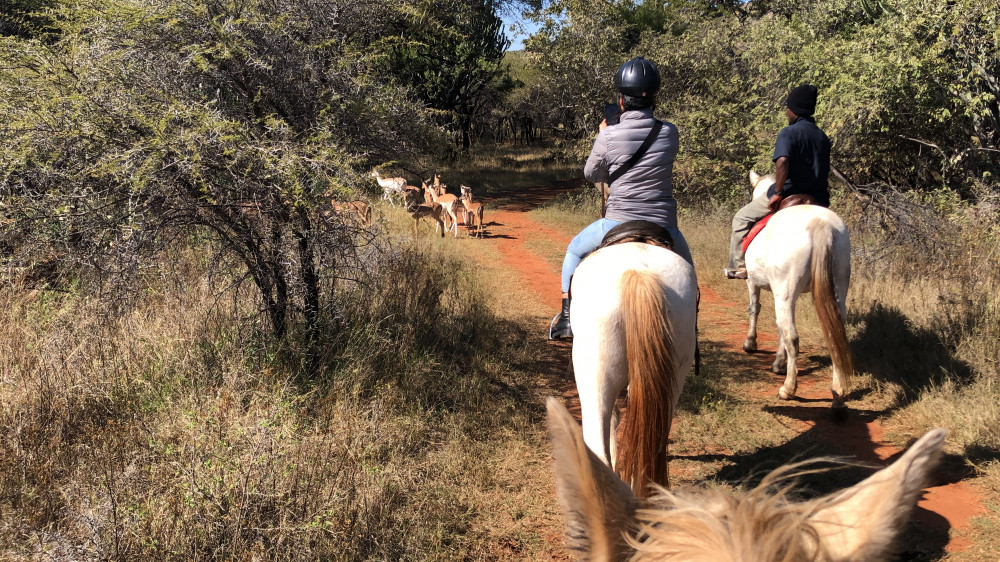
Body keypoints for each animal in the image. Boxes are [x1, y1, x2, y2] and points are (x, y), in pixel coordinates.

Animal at [744, 170, 852, 412]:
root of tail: (820, 225)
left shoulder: (755, 283)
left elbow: (755, 309)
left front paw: (751, 344)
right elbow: (778, 327)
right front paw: (778, 362)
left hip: (784, 292)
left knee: (792, 337)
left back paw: (788, 389)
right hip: (838, 287)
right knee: (836, 334)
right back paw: (838, 396)